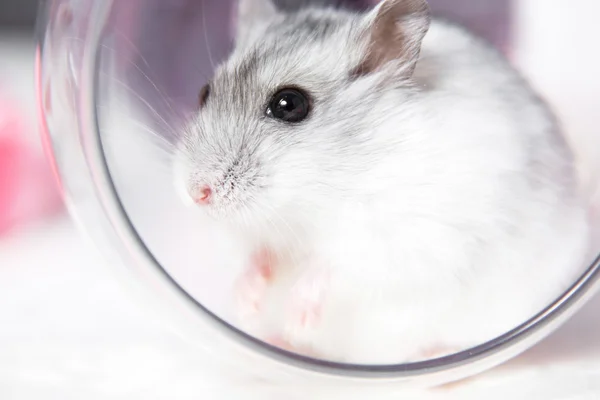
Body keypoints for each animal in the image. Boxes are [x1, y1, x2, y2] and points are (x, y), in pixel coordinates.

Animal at [172, 0, 592, 364]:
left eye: (289, 104)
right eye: (204, 93)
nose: (197, 194)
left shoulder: (405, 236)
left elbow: (336, 264)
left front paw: (298, 315)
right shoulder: (261, 234)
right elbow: (259, 255)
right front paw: (247, 302)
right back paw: (280, 341)